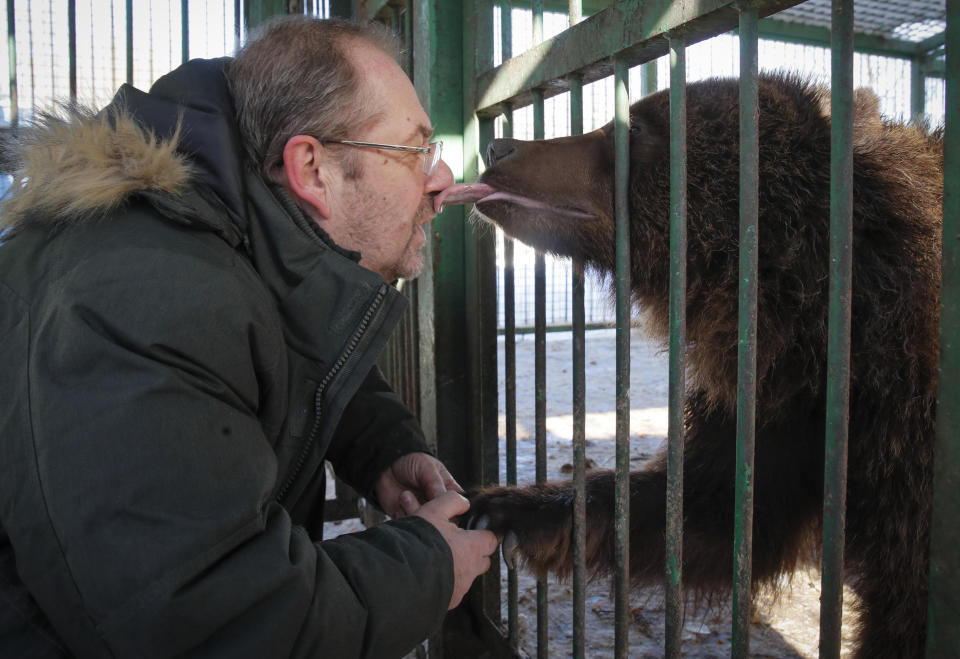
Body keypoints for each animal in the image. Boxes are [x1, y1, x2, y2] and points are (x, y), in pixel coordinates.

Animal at [436, 73, 944, 659]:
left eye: (634, 130)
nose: (498, 146)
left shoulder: (903, 429)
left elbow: (905, 600)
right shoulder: (775, 407)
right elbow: (711, 512)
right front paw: (503, 505)